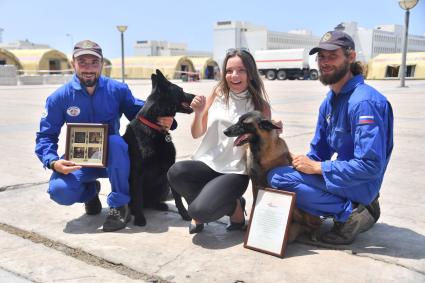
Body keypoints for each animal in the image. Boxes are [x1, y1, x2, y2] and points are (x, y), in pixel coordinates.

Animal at [122, 70, 194, 227]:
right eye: (181, 90)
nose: (194, 96)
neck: (154, 127)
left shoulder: (169, 168)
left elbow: (178, 197)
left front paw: (184, 214)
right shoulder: (137, 173)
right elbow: (137, 197)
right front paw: (140, 218)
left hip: (163, 184)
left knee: (153, 201)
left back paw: (159, 205)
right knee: (137, 202)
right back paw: (134, 212)